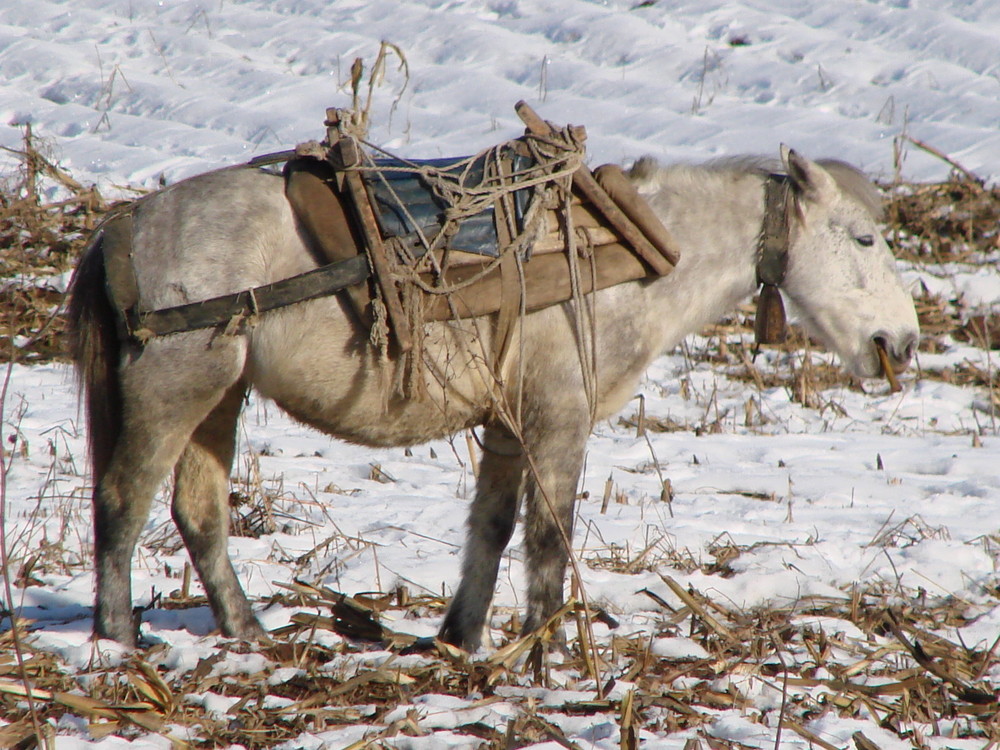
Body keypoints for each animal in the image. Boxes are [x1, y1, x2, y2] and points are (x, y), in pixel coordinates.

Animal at [66, 147, 916, 652]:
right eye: (864, 240)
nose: (900, 343)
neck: (623, 252)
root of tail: (127, 228)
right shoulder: (558, 420)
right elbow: (548, 537)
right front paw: (545, 648)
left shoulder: (510, 426)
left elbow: (494, 527)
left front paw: (463, 638)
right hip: (177, 392)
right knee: (123, 504)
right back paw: (116, 641)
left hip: (220, 396)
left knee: (198, 512)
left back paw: (248, 633)